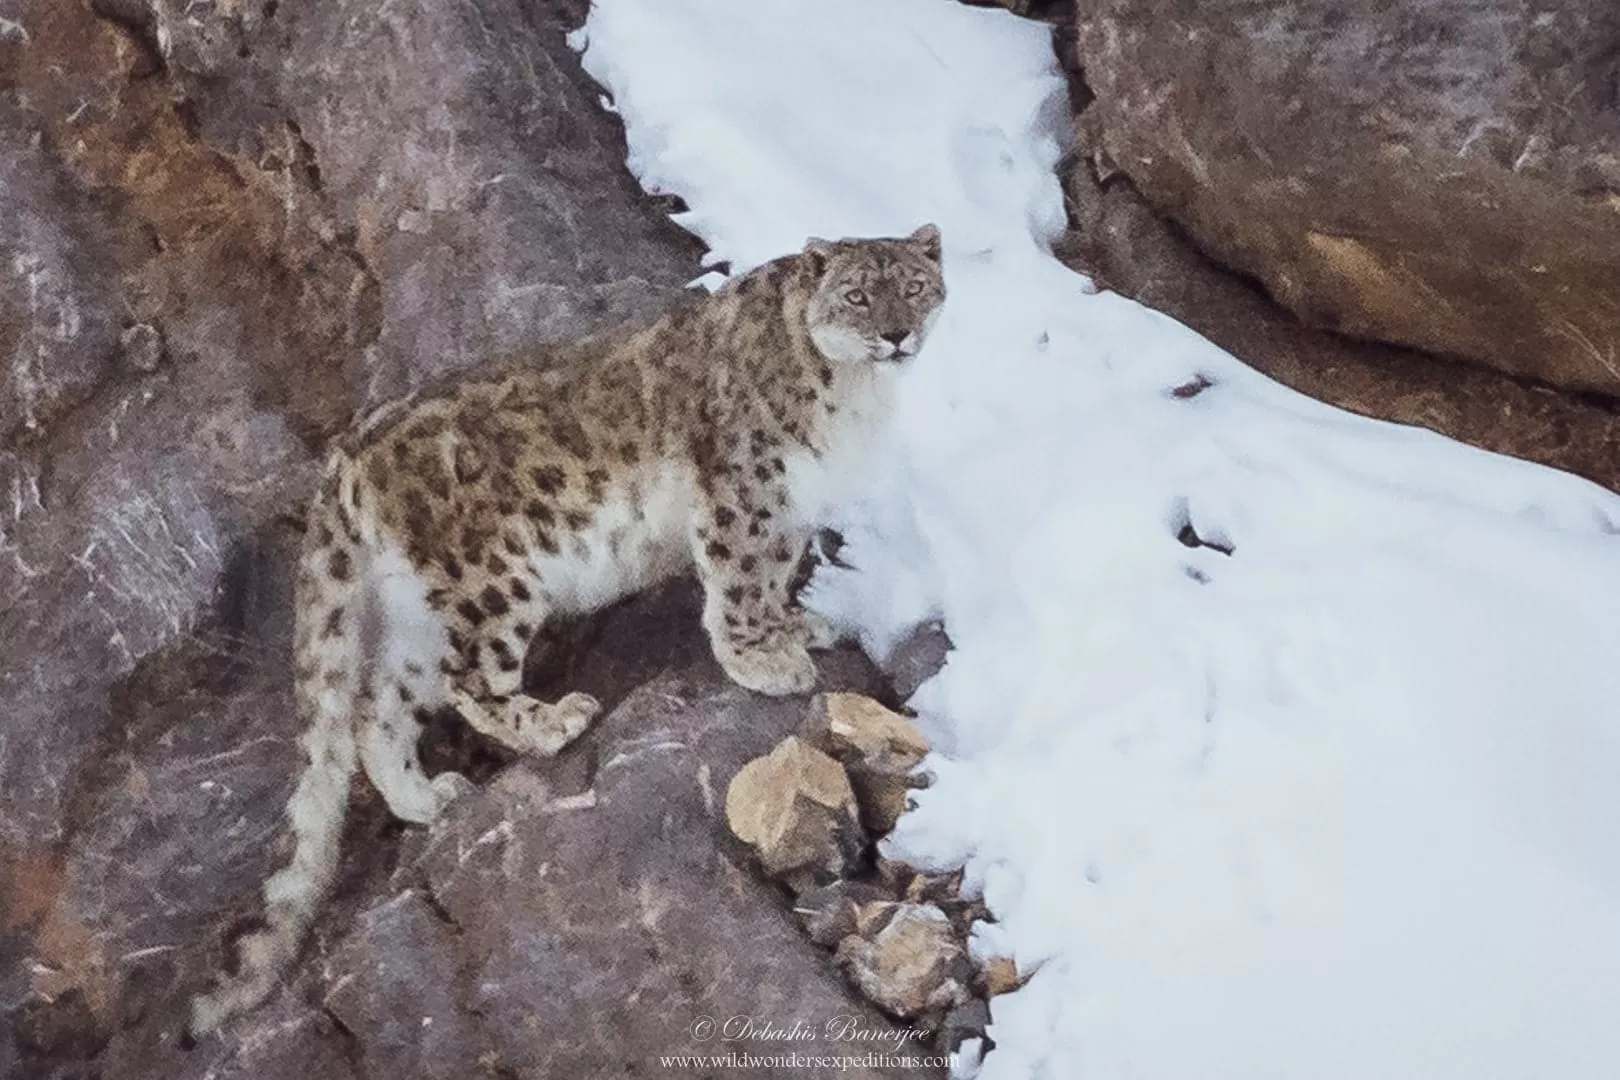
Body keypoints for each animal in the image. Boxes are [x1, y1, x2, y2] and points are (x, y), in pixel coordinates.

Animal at [188, 224, 947, 1035]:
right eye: (858, 294)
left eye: (913, 286)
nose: (895, 334)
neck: (857, 402)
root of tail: (348, 454)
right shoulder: (747, 495)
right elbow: (741, 580)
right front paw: (762, 661)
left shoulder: (791, 512)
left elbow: (773, 577)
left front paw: (800, 628)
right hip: (494, 578)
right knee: (470, 680)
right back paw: (555, 721)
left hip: (413, 613)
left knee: (375, 707)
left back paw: (428, 797)